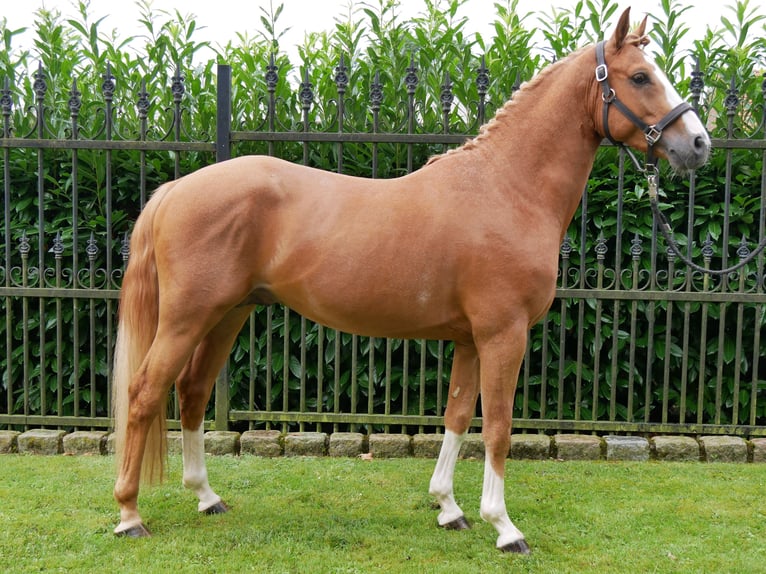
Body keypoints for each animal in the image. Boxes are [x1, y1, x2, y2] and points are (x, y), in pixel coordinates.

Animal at [114, 10, 712, 552]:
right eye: (641, 76)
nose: (699, 144)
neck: (506, 188)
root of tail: (176, 189)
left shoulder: (470, 340)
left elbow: (456, 417)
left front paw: (449, 508)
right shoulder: (504, 335)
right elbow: (498, 427)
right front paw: (505, 527)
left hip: (228, 314)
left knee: (191, 392)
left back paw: (207, 498)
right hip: (188, 317)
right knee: (145, 394)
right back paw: (129, 515)